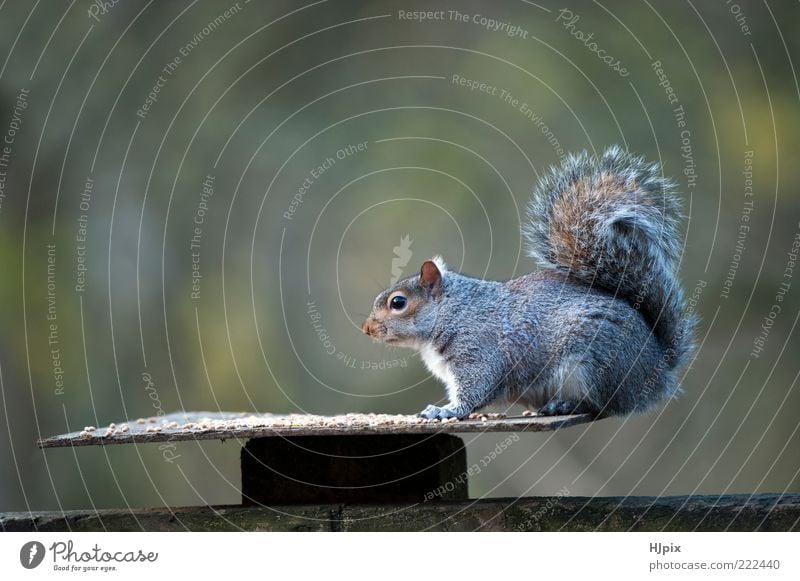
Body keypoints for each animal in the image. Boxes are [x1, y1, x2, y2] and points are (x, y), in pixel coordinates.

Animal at [360, 145, 692, 416]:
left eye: (398, 302)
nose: (366, 329)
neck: (455, 312)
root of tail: (656, 372)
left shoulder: (480, 351)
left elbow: (476, 389)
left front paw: (445, 411)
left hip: (595, 361)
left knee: (603, 406)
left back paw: (566, 405)